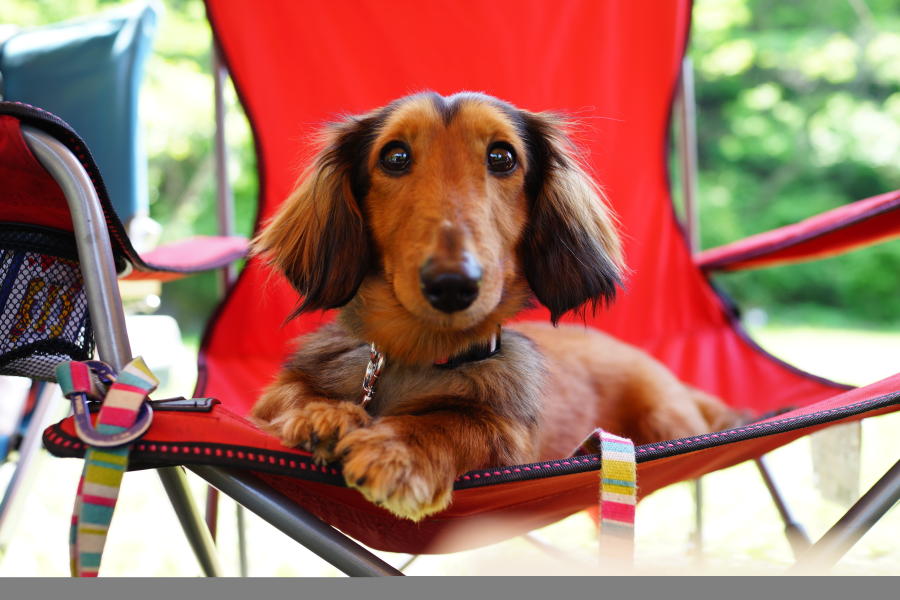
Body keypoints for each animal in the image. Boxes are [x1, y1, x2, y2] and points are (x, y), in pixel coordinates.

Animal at [250, 91, 736, 516]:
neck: (421, 354)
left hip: (665, 418)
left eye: (502, 157)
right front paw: (323, 413)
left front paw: (399, 449)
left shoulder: (512, 441)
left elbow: (457, 423)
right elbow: (291, 394)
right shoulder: (277, 393)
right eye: (394, 156)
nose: (452, 285)